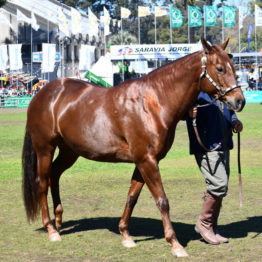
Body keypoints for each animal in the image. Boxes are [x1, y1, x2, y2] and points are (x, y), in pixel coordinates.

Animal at [21, 39, 245, 258]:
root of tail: (44, 92)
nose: (239, 101)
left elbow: (132, 197)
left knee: (55, 175)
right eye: (220, 68)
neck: (153, 102)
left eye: (233, 66)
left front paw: (125, 235)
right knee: (43, 182)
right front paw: (175, 244)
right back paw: (51, 229)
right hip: (45, 149)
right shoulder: (147, 161)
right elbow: (162, 200)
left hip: (69, 151)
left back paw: (58, 220)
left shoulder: (142, 161)